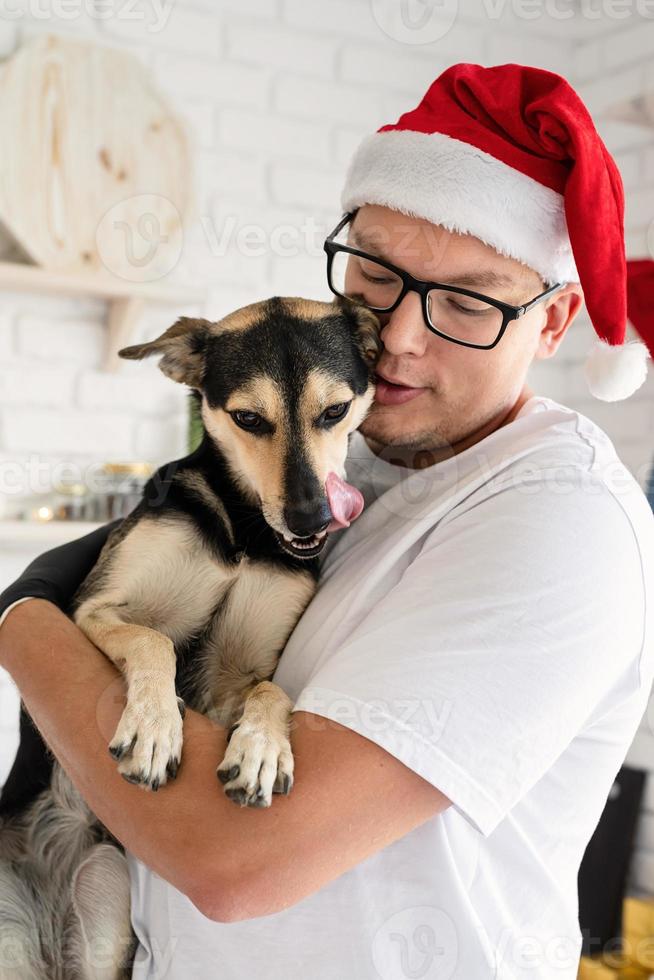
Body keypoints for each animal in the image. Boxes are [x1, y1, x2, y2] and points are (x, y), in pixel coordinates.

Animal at [0, 296, 382, 980]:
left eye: (335, 411)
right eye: (249, 419)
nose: (311, 520)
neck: (243, 529)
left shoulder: (238, 679)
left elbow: (273, 692)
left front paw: (261, 751)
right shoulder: (91, 610)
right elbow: (153, 641)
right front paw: (154, 729)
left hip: (104, 905)